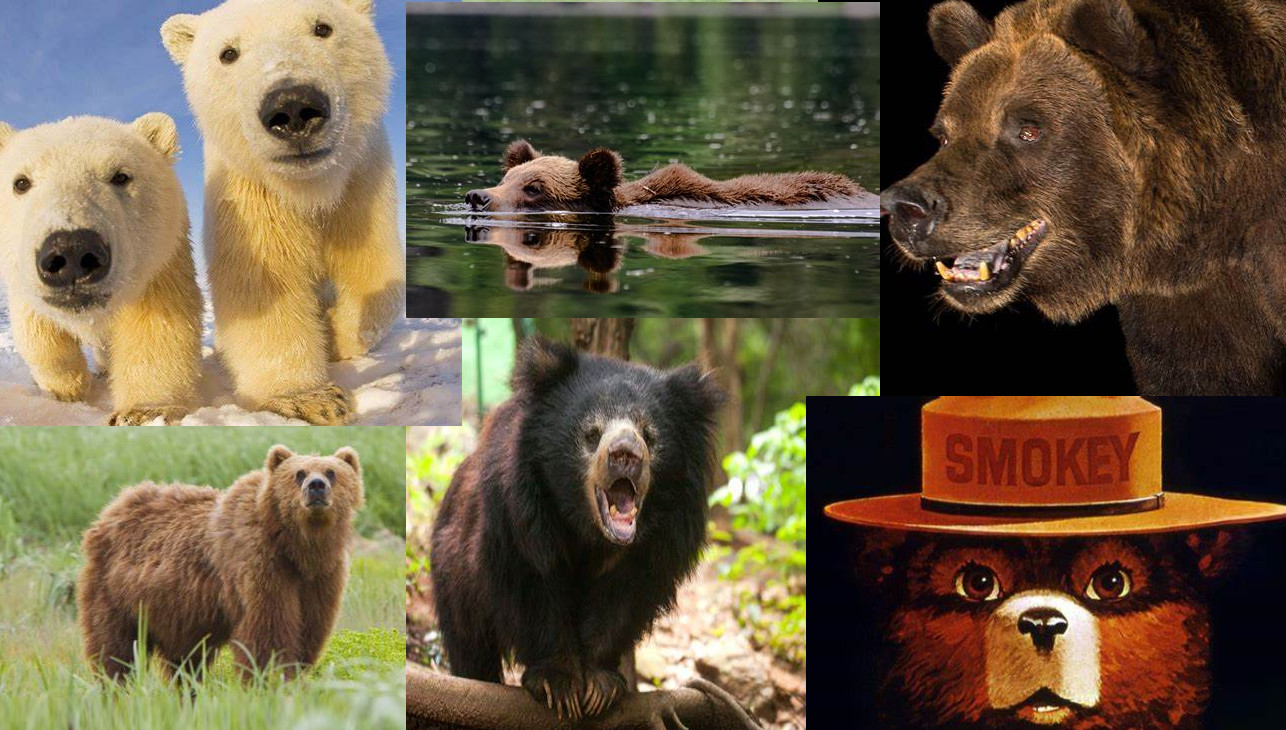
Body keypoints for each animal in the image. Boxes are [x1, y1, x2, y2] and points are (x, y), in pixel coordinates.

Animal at [0, 114, 203, 425]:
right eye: (21, 182)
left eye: (120, 176)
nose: (71, 251)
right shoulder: (22, 281)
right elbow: (38, 332)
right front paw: (66, 388)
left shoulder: (161, 262)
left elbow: (158, 326)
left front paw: (143, 411)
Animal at [77, 444, 363, 682]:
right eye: (299, 473)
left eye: (331, 472)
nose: (316, 486)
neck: (297, 548)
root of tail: (112, 508)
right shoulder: (259, 566)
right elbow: (268, 633)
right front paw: (269, 680)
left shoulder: (321, 577)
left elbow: (308, 631)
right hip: (116, 593)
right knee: (115, 649)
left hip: (178, 613)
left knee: (186, 662)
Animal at [161, 0, 404, 424]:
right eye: (228, 53)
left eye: (323, 27)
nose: (292, 107)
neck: (310, 190)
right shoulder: (250, 196)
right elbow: (265, 284)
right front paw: (309, 398)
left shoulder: (361, 181)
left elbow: (373, 269)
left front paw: (334, 335)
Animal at [431, 337, 723, 720]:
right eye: (591, 434)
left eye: (649, 436)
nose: (626, 453)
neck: (590, 532)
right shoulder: (519, 514)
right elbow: (533, 584)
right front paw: (559, 684)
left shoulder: (661, 540)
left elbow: (625, 596)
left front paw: (600, 685)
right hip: (453, 572)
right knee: (470, 644)